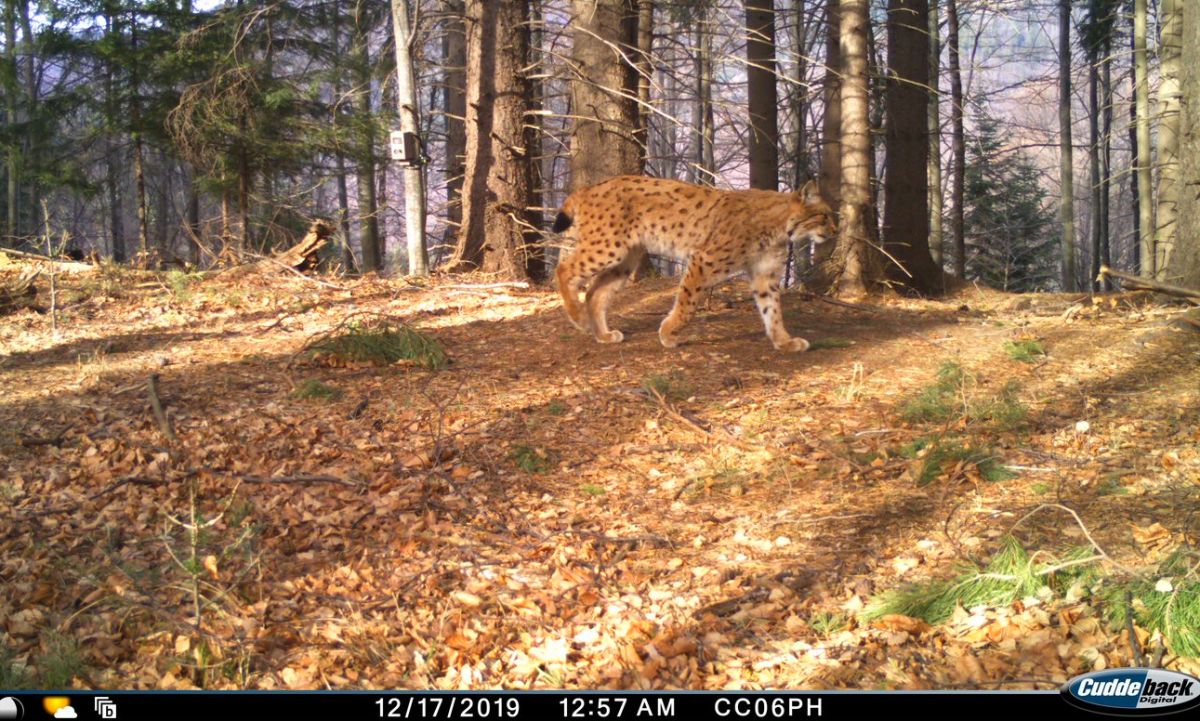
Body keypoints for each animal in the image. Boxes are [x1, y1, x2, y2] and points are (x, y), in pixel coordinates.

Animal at [552, 175, 837, 351]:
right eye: (824, 216)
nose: (835, 231)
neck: (781, 228)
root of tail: (590, 187)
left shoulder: (764, 274)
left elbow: (773, 311)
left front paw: (784, 341)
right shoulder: (703, 259)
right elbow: (688, 303)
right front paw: (668, 332)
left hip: (626, 257)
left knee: (595, 292)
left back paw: (602, 334)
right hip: (608, 246)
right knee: (564, 268)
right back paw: (579, 319)